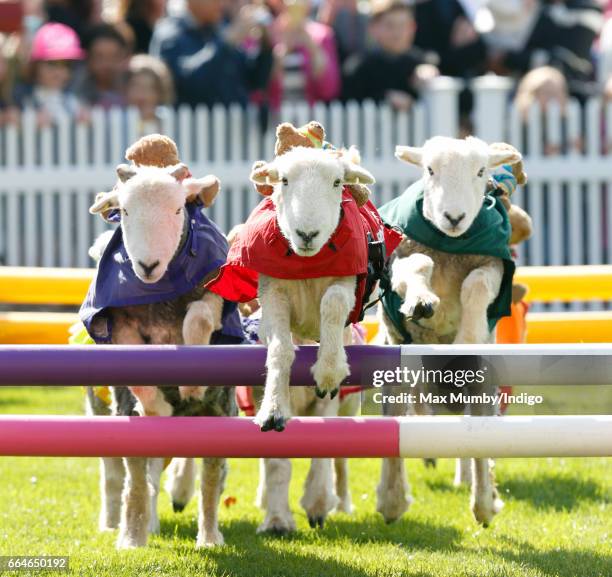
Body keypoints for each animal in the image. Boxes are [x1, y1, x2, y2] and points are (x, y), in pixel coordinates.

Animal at [378, 135, 520, 528]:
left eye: (481, 171)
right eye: (429, 169)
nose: (454, 217)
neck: (451, 245)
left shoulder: (492, 267)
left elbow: (476, 285)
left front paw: (467, 335)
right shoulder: (402, 258)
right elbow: (418, 266)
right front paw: (422, 300)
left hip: (483, 383)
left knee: (477, 435)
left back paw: (483, 502)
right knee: (397, 423)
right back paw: (392, 499)